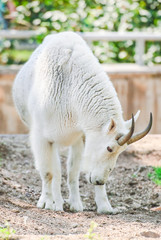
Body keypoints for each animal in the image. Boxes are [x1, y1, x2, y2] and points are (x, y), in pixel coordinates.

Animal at [12, 31, 152, 214]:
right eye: (109, 148)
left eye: (121, 152)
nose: (100, 180)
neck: (69, 88)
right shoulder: (42, 138)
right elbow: (48, 172)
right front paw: (48, 203)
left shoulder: (82, 136)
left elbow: (73, 171)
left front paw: (101, 206)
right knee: (53, 171)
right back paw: (55, 202)